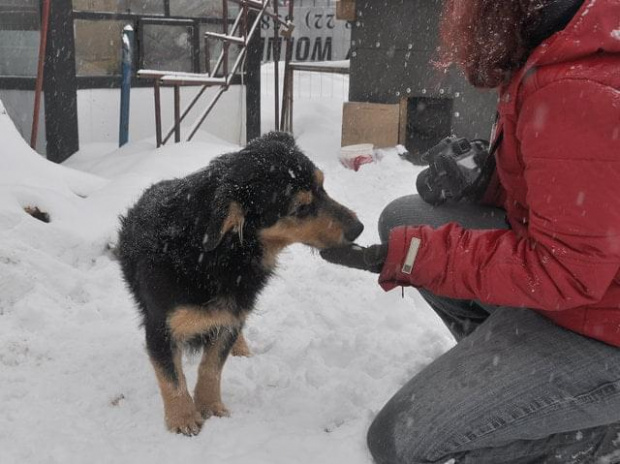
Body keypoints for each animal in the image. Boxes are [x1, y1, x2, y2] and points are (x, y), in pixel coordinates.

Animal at [117, 130, 364, 436]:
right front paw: (182, 418)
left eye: (322, 186)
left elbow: (211, 367)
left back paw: (241, 347)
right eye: (301, 207)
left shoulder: (230, 316)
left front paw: (210, 406)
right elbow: (172, 378)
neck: (219, 254)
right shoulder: (160, 327)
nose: (359, 228)